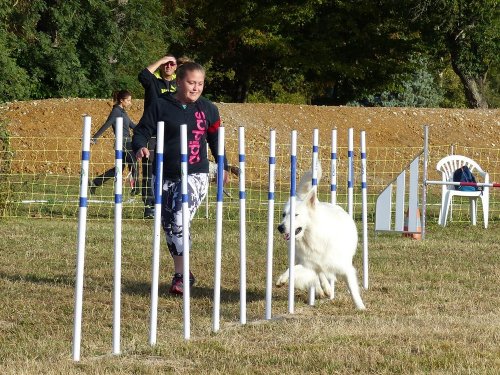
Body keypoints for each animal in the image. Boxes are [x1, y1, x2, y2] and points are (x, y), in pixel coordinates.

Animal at [276, 166, 366, 310]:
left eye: (296, 215)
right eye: (284, 215)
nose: (280, 227)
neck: (313, 237)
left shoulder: (345, 267)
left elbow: (353, 289)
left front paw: (361, 307)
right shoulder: (308, 263)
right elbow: (294, 269)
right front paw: (283, 279)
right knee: (318, 275)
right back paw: (322, 289)